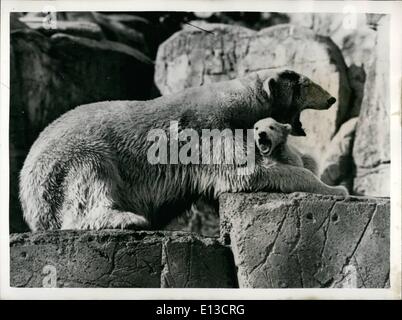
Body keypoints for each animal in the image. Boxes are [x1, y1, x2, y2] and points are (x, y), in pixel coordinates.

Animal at [20, 69, 344, 230]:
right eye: (308, 84)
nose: (331, 98)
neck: (237, 103)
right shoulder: (207, 131)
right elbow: (246, 170)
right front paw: (336, 188)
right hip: (70, 161)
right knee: (91, 180)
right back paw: (128, 219)